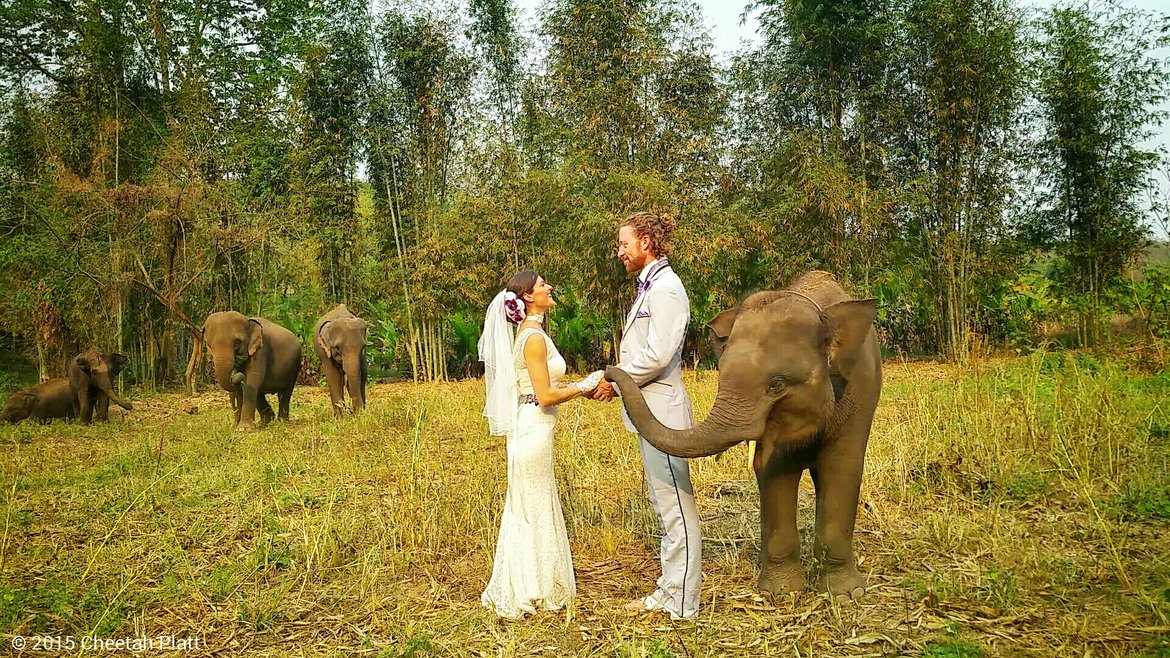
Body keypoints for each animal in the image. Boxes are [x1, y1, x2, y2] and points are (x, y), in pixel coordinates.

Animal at [608, 270, 879, 599]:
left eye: (776, 385)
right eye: (721, 373)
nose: (608, 372)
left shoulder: (858, 394)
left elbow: (842, 467)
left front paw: (845, 595)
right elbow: (774, 471)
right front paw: (780, 593)